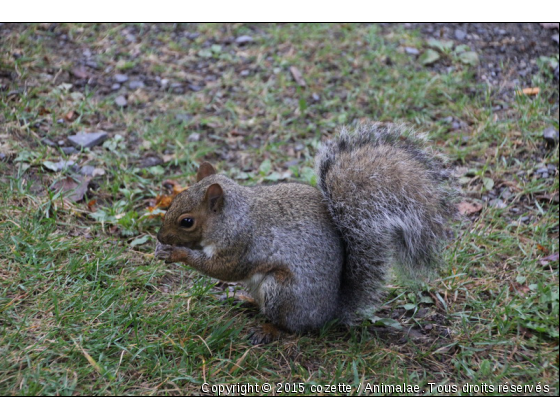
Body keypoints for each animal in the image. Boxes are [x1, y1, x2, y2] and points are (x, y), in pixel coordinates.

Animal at [154, 122, 456, 344]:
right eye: (175, 199)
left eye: (187, 221)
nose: (160, 237)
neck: (233, 216)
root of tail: (329, 313)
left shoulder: (241, 244)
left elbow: (223, 269)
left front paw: (177, 253)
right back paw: (244, 301)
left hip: (283, 291)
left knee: (291, 327)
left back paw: (269, 330)